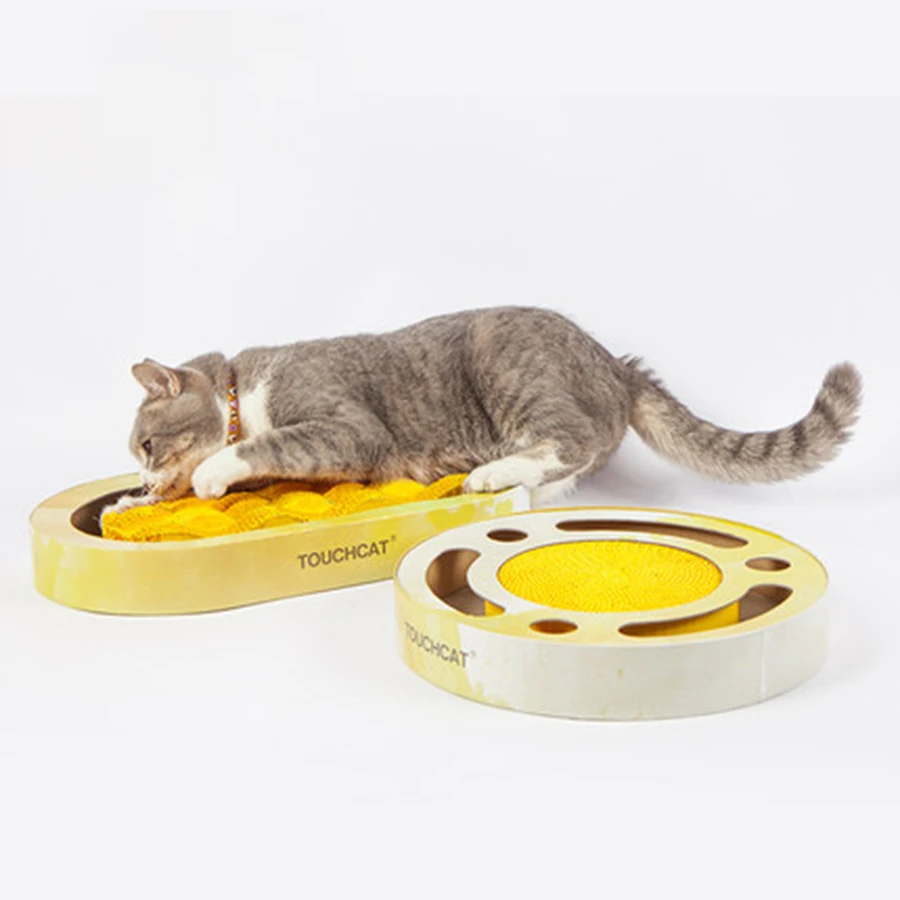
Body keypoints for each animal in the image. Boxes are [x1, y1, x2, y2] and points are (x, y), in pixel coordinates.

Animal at [116, 307, 861, 511]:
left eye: (147, 446)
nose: (144, 482)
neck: (244, 391)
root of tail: (614, 363)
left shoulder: (347, 428)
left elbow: (263, 445)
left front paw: (212, 473)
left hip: (503, 355)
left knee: (569, 438)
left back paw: (489, 473)